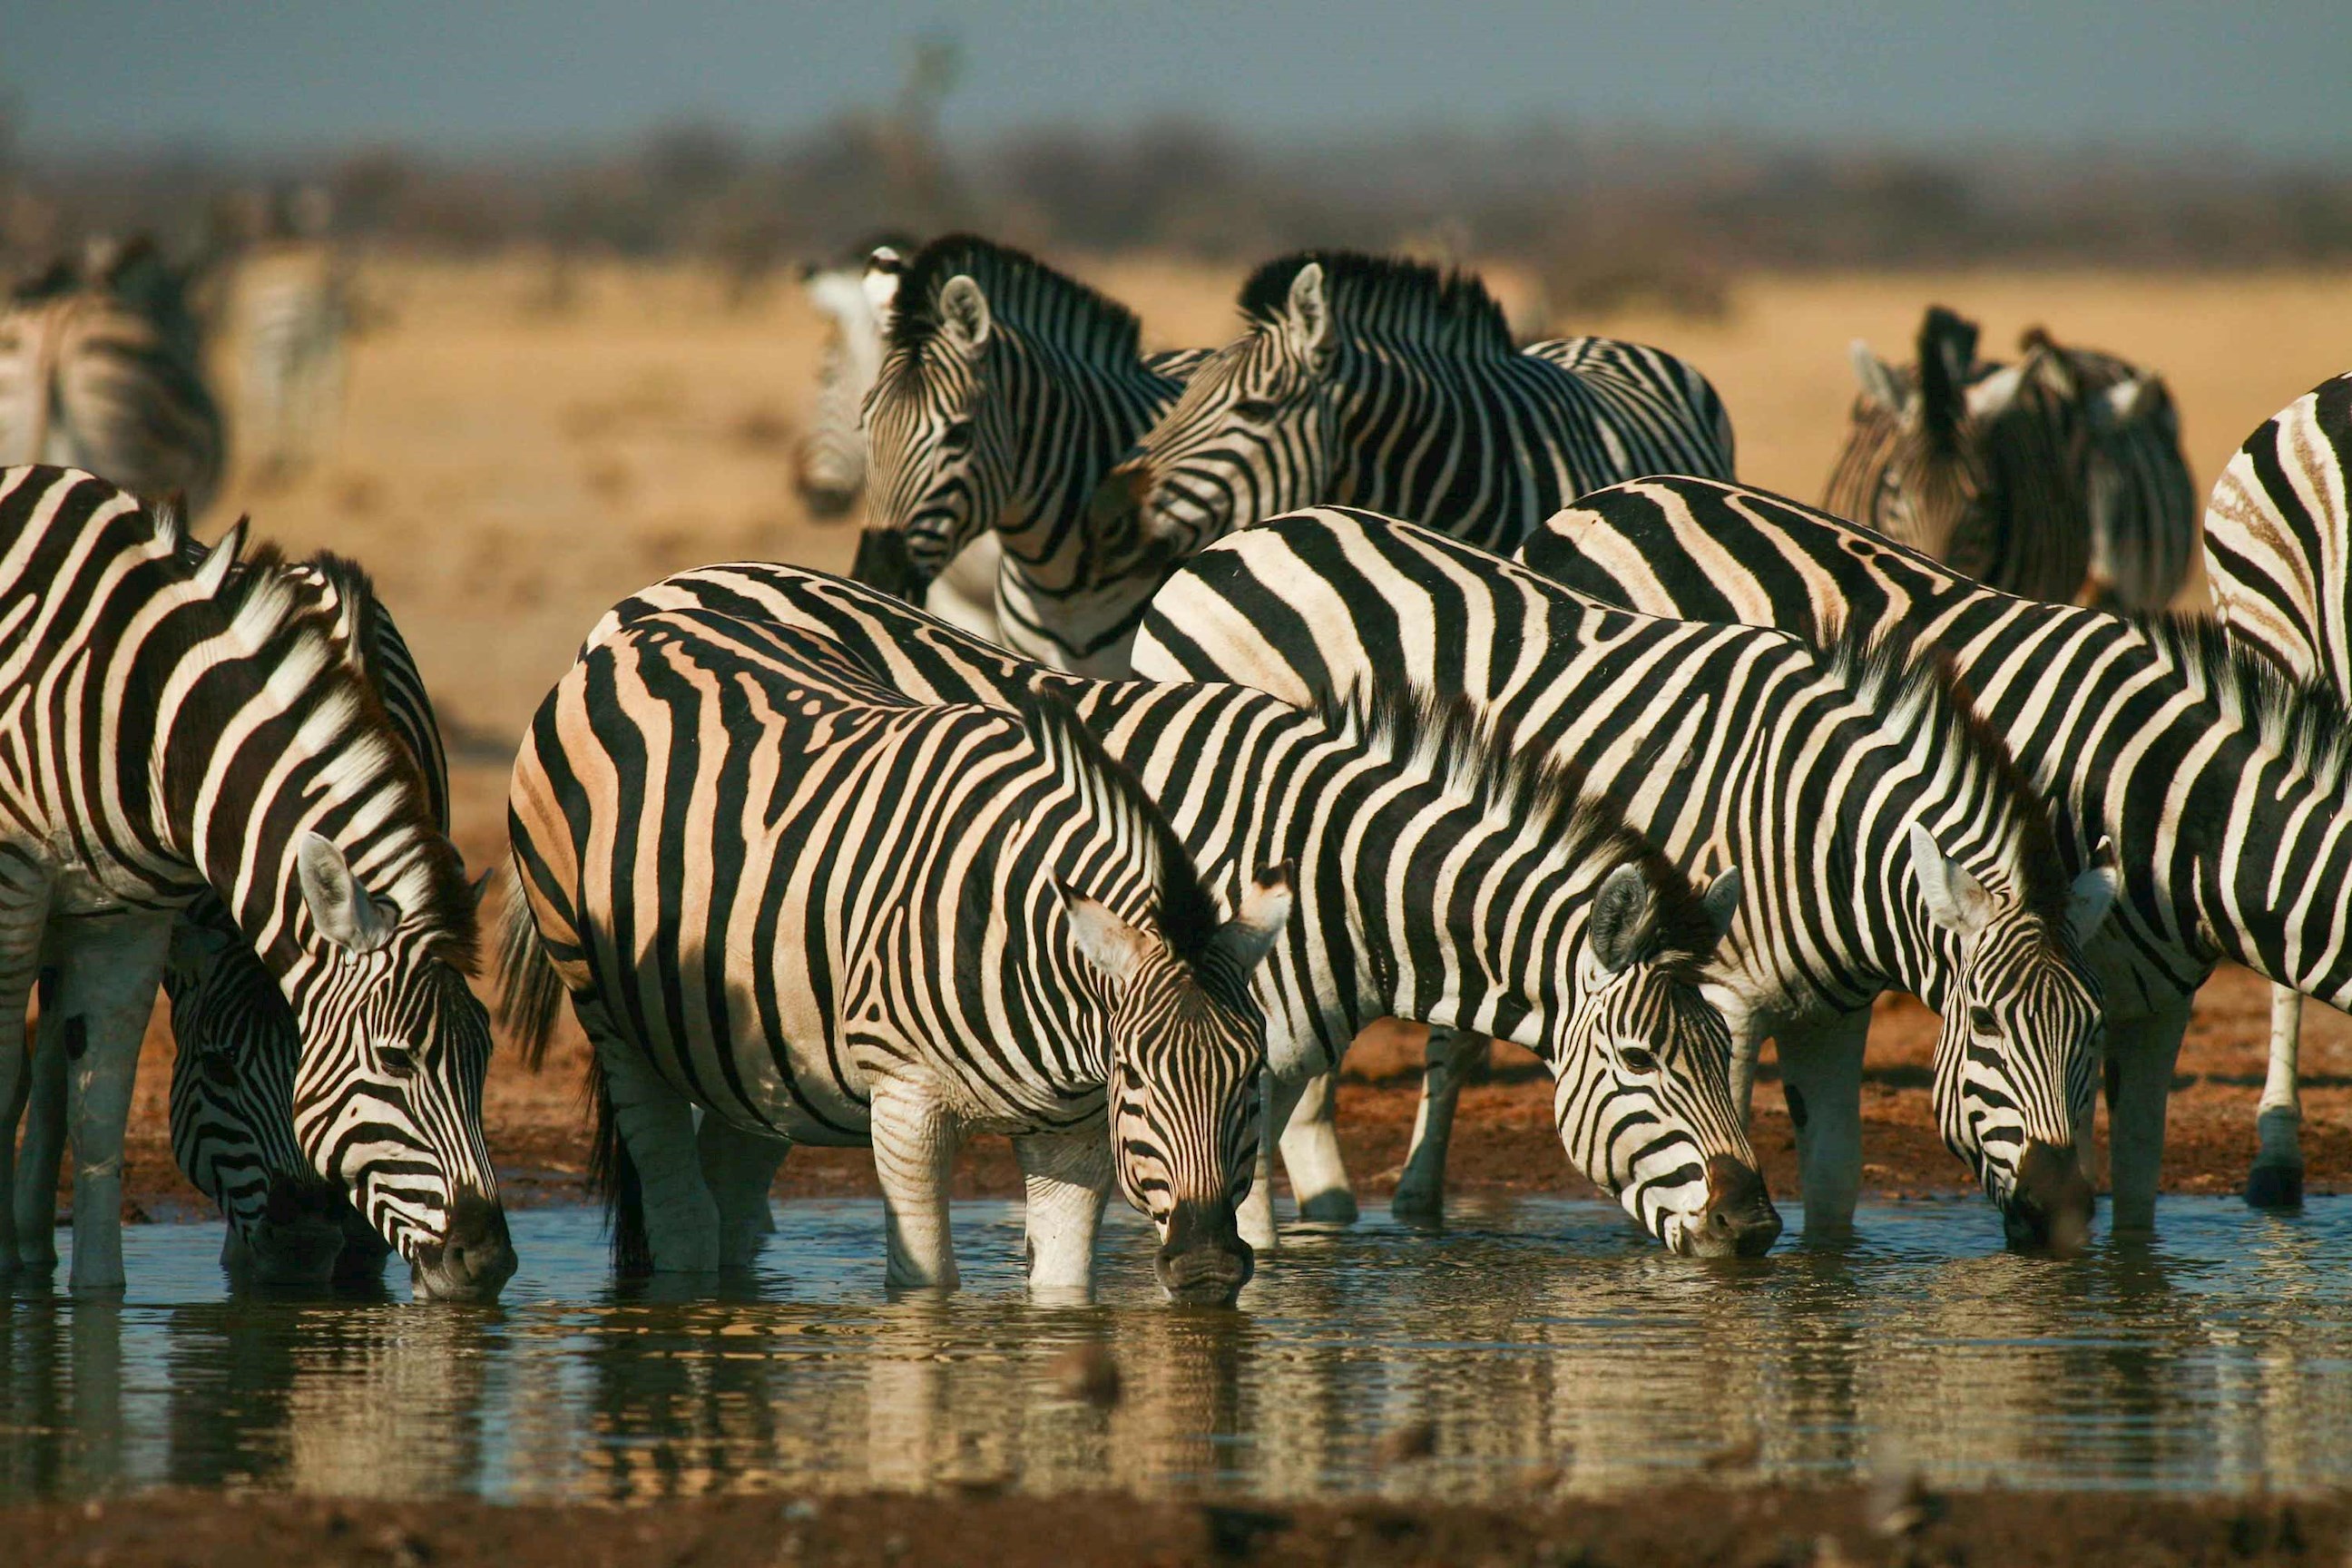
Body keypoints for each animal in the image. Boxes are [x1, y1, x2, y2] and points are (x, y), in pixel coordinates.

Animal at [0, 465, 512, 1297]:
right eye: (395, 1060)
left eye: (485, 1055)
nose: (487, 1258)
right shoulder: (22, 885)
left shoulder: (121, 910)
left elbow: (98, 1105)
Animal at [499, 617, 1290, 1301]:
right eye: (1137, 1075)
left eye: (1251, 1073)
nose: (1208, 1267)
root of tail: (633, 632)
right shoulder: (907, 1104)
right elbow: (926, 1287)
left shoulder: (1076, 1135)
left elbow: (1064, 1286)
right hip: (609, 1013)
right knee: (681, 1212)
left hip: (753, 1049)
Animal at [1136, 507, 2117, 1245]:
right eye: (1985, 1025)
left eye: (2093, 1032)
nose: (2067, 1216)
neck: (1815, 822)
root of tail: (1245, 537)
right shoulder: (1725, 998)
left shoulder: (1833, 1013)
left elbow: (1834, 1188)